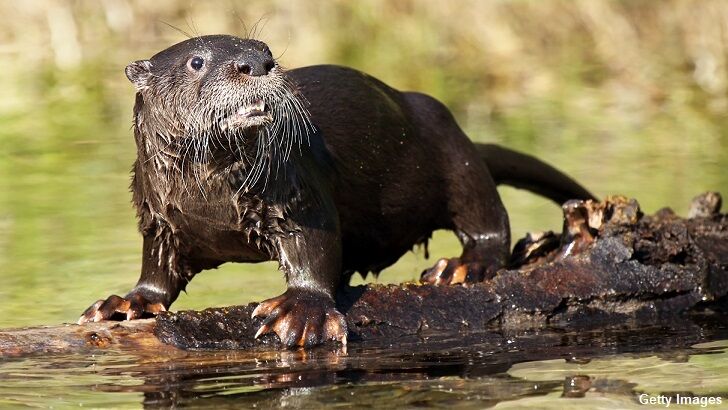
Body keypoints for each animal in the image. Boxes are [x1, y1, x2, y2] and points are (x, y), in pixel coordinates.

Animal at [78, 35, 595, 347]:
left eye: (264, 48)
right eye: (197, 61)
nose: (256, 63)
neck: (209, 203)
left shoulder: (298, 193)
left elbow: (315, 247)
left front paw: (301, 312)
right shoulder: (158, 217)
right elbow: (157, 268)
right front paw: (127, 302)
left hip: (450, 144)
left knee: (486, 217)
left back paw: (464, 266)